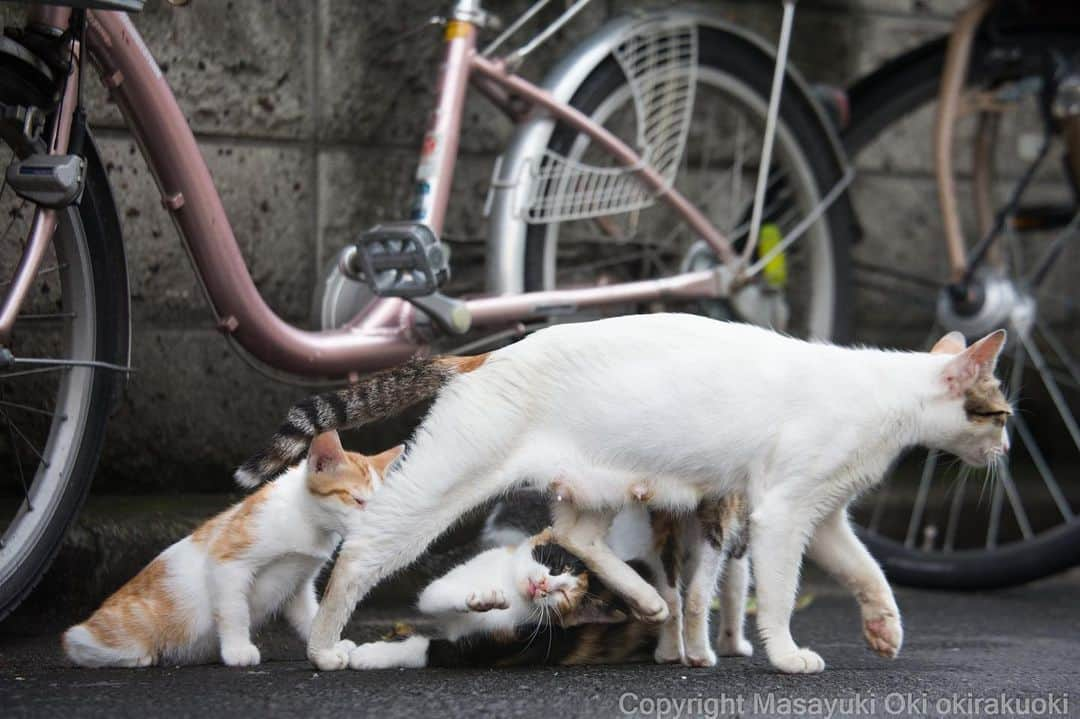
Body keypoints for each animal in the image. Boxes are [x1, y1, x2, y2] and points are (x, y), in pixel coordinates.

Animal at [63, 425, 401, 665]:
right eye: (357, 500)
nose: (380, 522)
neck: (308, 521)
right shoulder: (227, 560)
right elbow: (234, 609)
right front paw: (238, 650)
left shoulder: (297, 584)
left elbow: (310, 614)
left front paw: (326, 645)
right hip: (122, 629)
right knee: (76, 644)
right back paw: (140, 656)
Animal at [240, 313, 1006, 673]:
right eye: (998, 412)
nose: (1005, 449)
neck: (884, 397)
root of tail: (483, 355)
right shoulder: (785, 512)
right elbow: (782, 595)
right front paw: (787, 653)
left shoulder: (825, 517)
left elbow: (869, 572)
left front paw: (884, 627)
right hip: (440, 484)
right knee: (360, 552)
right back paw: (326, 647)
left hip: (596, 486)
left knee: (574, 537)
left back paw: (645, 600)